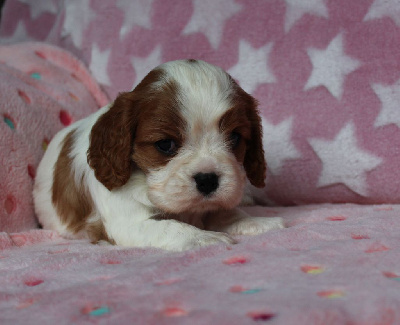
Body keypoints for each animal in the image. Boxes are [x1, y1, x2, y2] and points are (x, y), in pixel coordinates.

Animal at [34, 58, 284, 251]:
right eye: (165, 144)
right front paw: (203, 237)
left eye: (234, 137)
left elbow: (227, 213)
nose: (208, 180)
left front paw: (257, 221)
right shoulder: (127, 223)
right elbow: (169, 227)